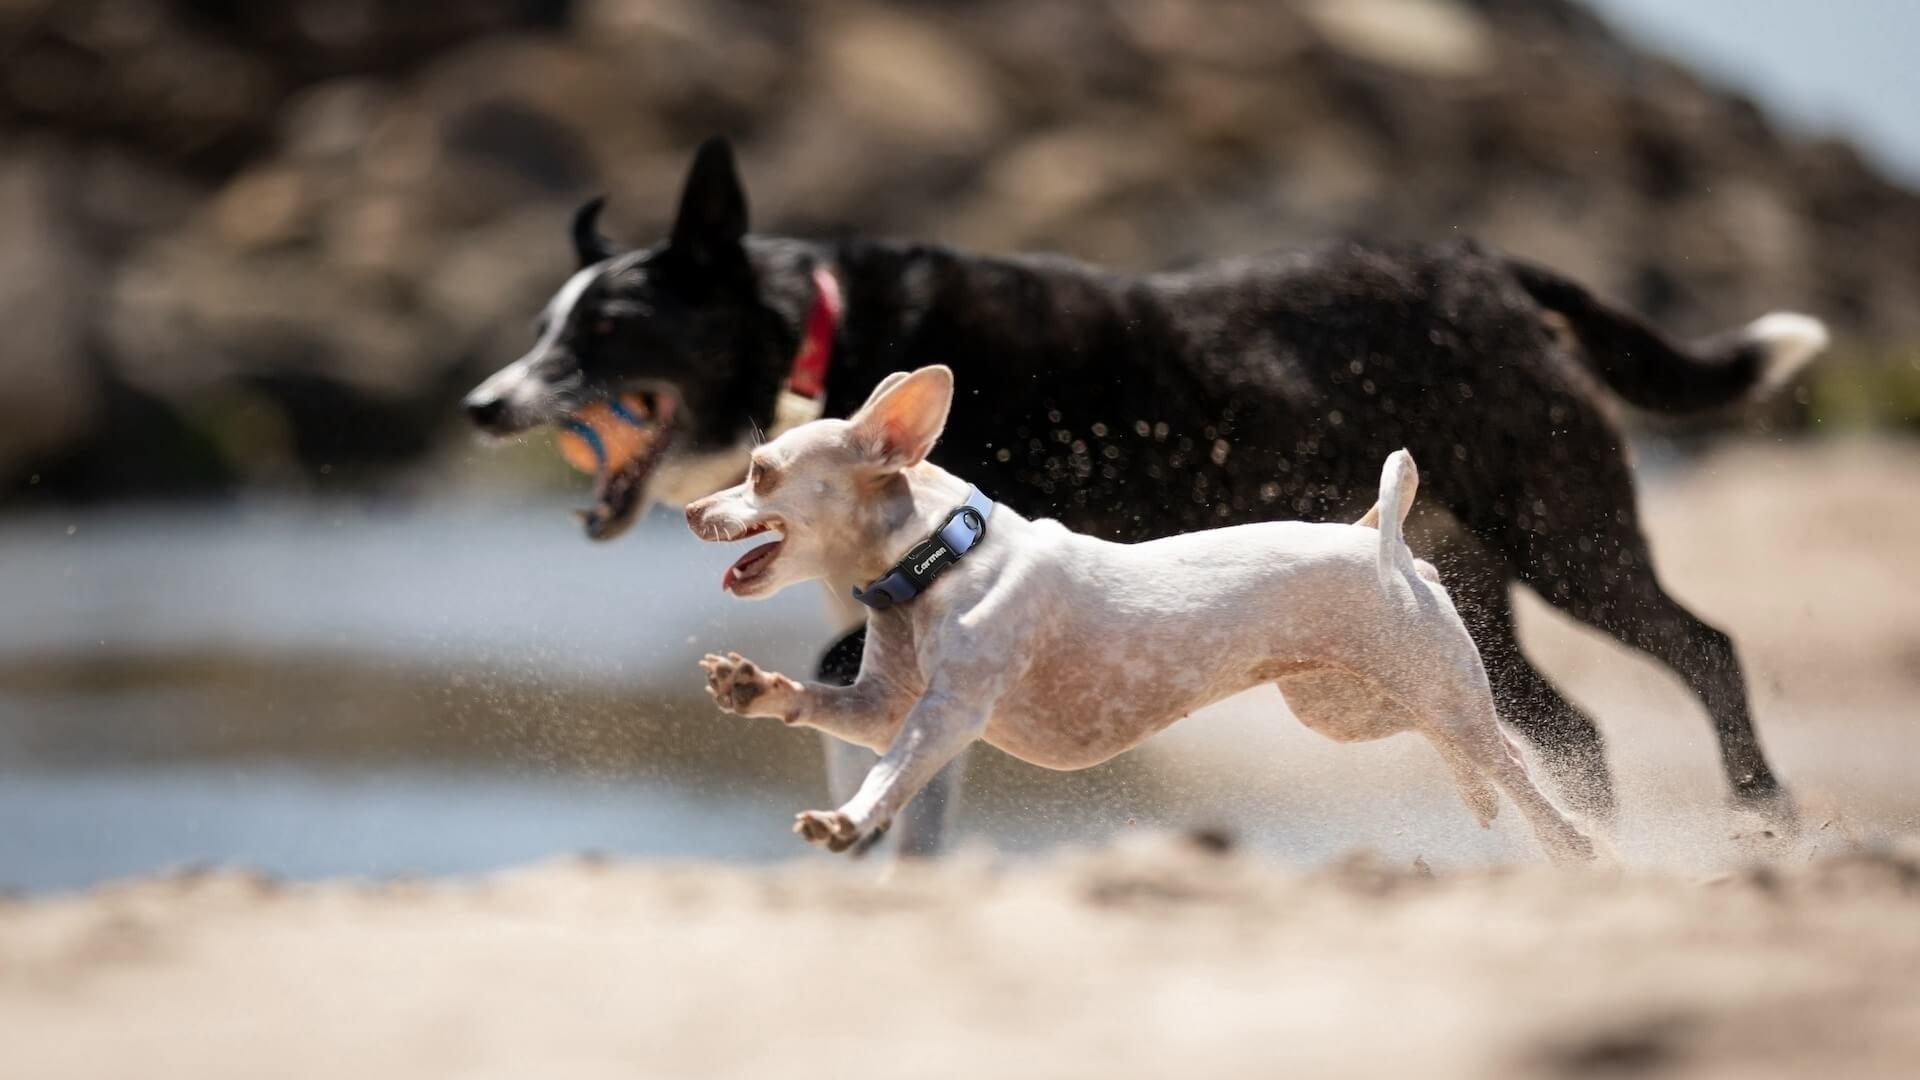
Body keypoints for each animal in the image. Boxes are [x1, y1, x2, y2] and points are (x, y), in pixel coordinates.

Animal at [687, 365, 1589, 860]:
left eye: (761, 472)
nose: (694, 509)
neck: (938, 559)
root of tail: (1386, 544)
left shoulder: (946, 714)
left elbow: (891, 775)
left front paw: (847, 819)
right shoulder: (882, 705)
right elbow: (826, 706)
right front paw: (751, 686)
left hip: (1430, 686)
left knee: (1508, 762)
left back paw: (1578, 846)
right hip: (1341, 708)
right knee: (1466, 747)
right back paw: (1484, 803)